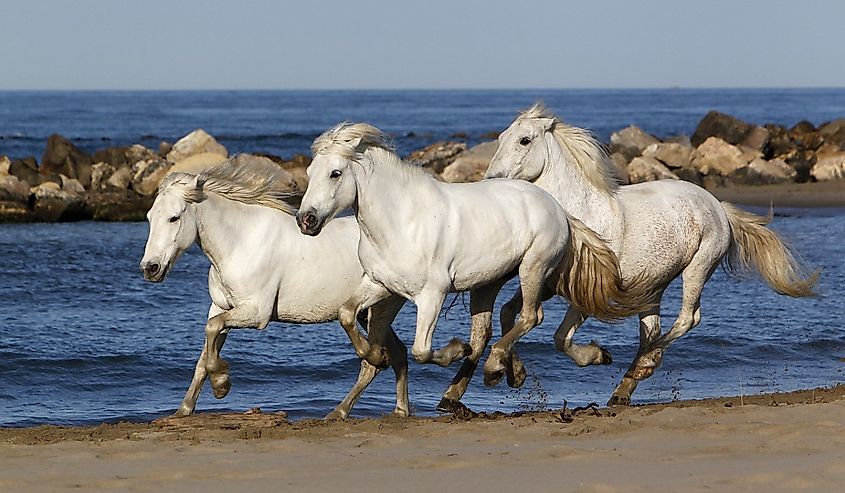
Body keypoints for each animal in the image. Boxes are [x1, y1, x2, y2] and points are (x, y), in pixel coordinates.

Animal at [139, 157, 408, 419]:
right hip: (365, 312)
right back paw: (399, 410)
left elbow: (212, 330)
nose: (150, 268)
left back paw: (342, 408)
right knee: (398, 352)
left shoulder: (256, 312)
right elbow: (204, 354)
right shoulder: (219, 307)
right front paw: (183, 409)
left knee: (373, 362)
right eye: (150, 217)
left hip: (380, 306)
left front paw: (222, 385)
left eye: (174, 217)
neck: (241, 242)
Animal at [293, 122, 652, 411]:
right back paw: (512, 372)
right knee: (497, 325)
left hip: (533, 268)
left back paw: (499, 366)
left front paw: (454, 349)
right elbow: (346, 313)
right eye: (309, 174)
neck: (403, 221)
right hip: (492, 281)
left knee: (529, 317)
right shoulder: (379, 284)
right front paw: (375, 355)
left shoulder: (432, 295)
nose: (305, 220)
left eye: (335, 173)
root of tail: (557, 206)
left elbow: (422, 350)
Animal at [485, 103, 819, 405]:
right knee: (652, 329)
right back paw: (623, 389)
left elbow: (559, 338)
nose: (492, 180)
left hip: (698, 267)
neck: (580, 217)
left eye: (524, 140)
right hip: (653, 284)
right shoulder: (550, 283)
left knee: (687, 318)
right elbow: (509, 312)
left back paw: (644, 365)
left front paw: (598, 355)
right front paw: (510, 372)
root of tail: (717, 205)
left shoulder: (588, 292)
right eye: (501, 137)